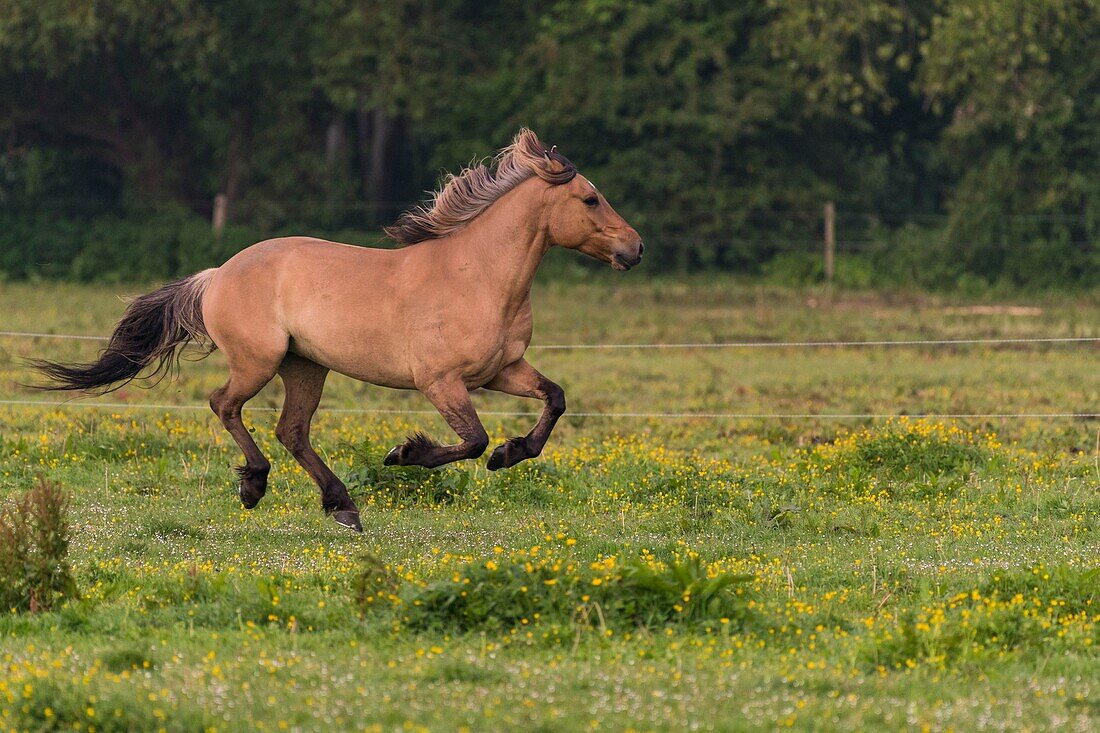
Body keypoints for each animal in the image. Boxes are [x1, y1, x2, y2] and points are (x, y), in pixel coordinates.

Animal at [36, 129, 642, 530]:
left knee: (292, 431)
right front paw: (405, 454)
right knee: (224, 404)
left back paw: (341, 505)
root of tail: (215, 276)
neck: (479, 277)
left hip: (306, 366)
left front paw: (512, 453)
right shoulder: (440, 381)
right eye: (590, 198)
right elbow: (472, 440)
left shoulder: (503, 371)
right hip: (258, 362)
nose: (635, 248)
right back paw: (255, 484)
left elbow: (554, 400)